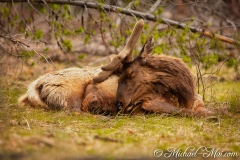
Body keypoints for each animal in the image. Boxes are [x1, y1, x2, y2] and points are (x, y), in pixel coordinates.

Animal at [18, 19, 214, 117]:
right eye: (120, 76)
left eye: (131, 73)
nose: (120, 104)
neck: (184, 92)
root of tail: (33, 88)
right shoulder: (149, 101)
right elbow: (189, 112)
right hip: (70, 96)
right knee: (74, 112)